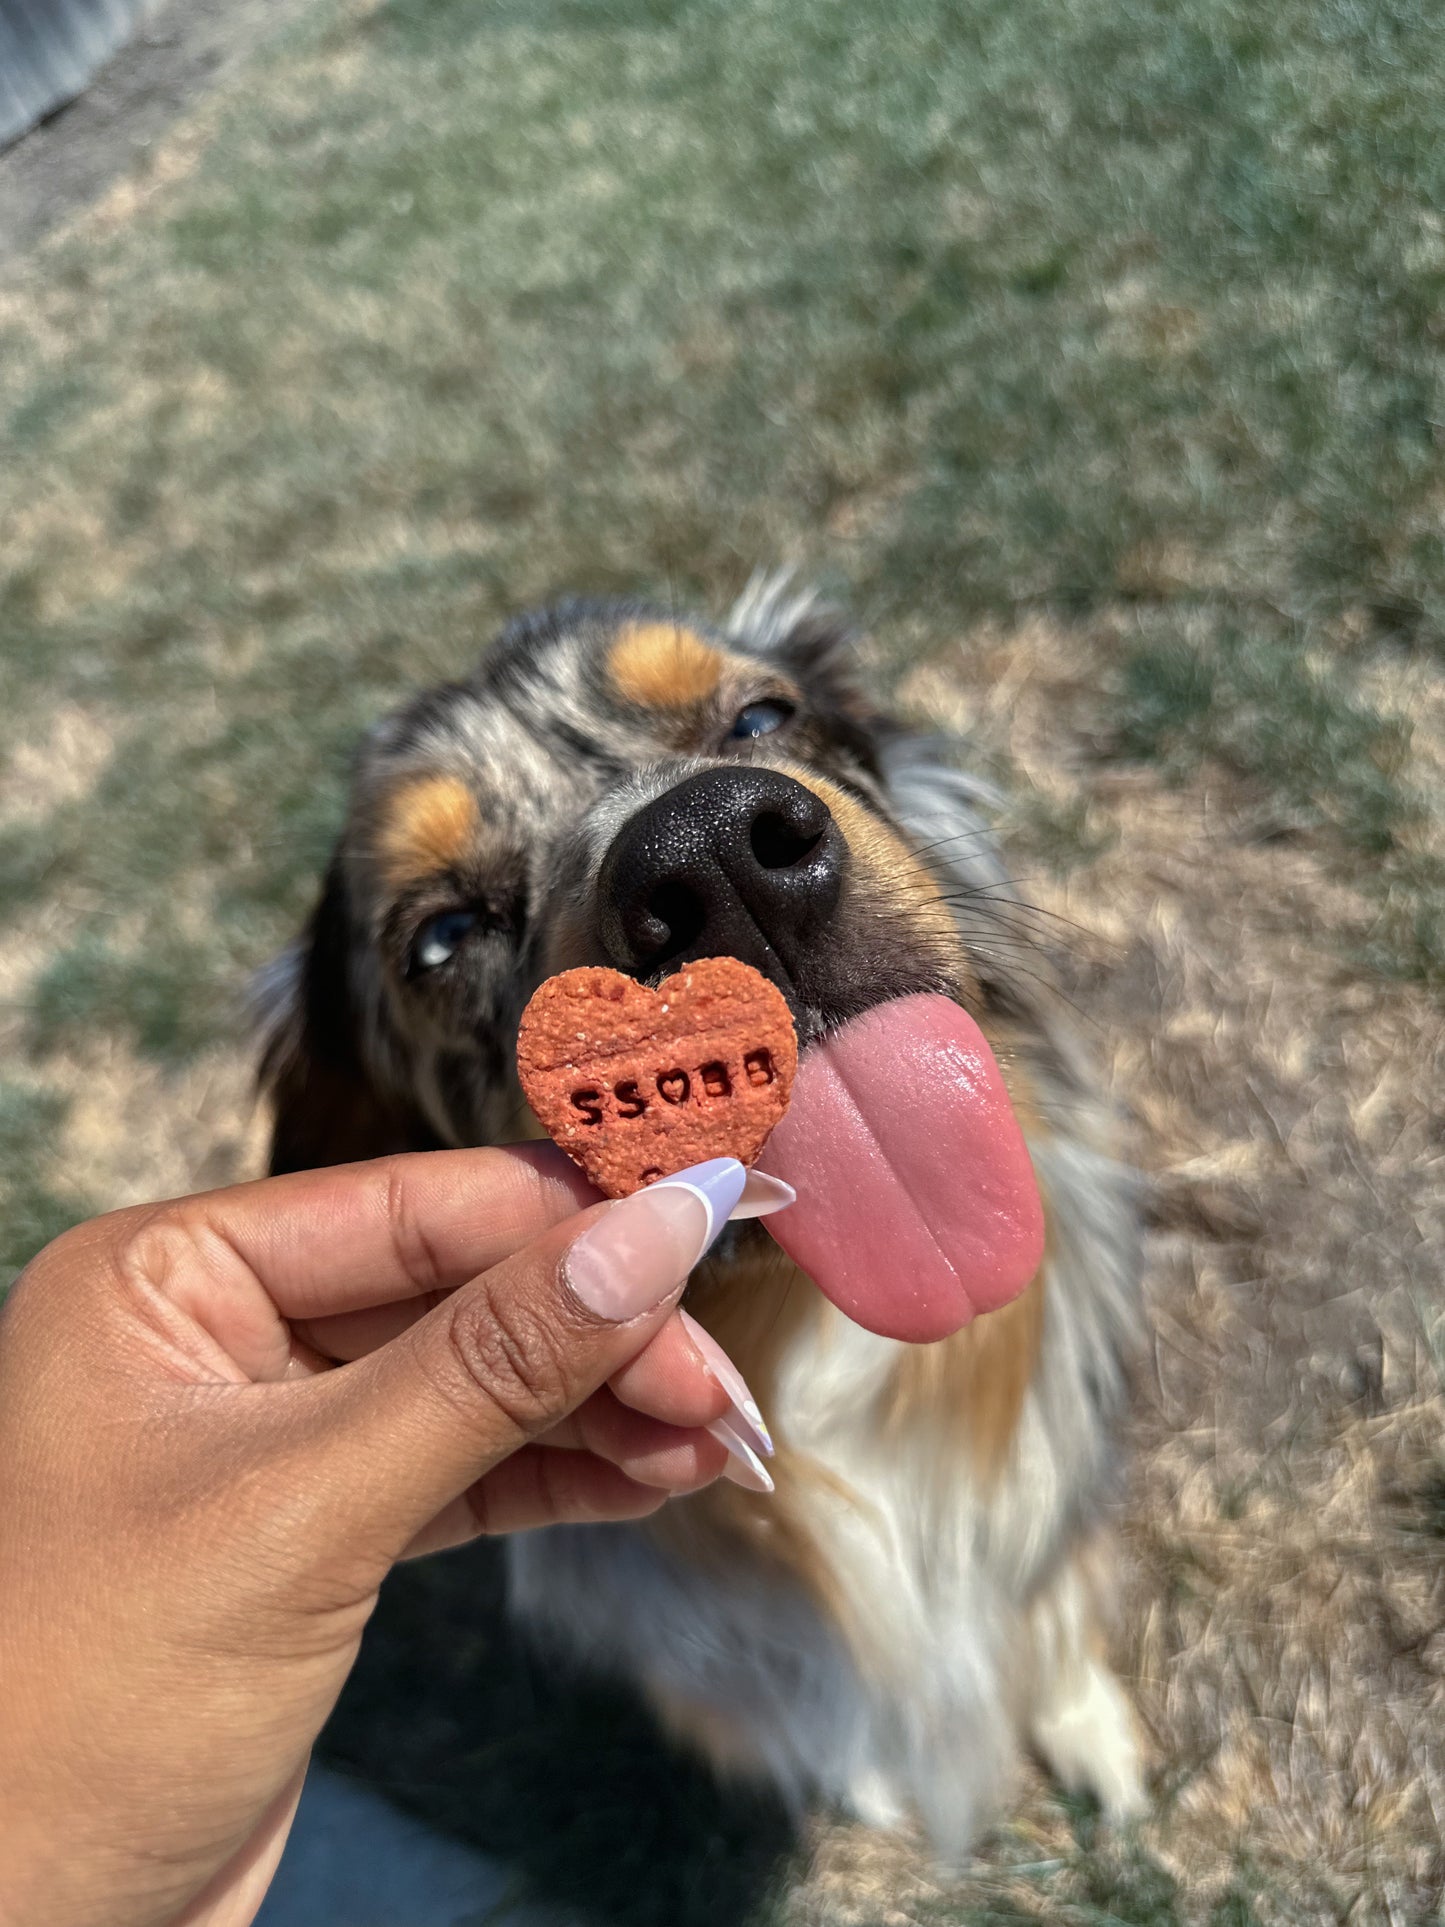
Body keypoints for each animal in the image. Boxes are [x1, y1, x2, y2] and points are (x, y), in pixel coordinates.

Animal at [258, 574, 1140, 1849]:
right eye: (441, 936)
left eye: (760, 717)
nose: (714, 851)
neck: (816, 1345)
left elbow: (1050, 1614)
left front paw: (1088, 1729)